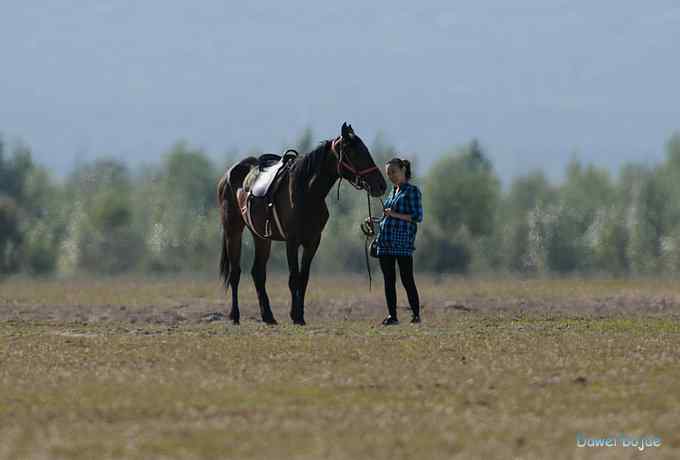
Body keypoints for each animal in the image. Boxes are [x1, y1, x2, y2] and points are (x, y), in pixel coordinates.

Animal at [218, 121, 388, 324]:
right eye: (355, 153)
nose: (381, 185)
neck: (307, 192)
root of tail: (228, 175)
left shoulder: (312, 242)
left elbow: (303, 278)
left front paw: (300, 314)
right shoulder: (292, 242)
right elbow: (293, 278)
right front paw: (295, 316)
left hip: (261, 237)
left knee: (258, 273)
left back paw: (268, 316)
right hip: (233, 231)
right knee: (235, 273)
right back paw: (235, 315)